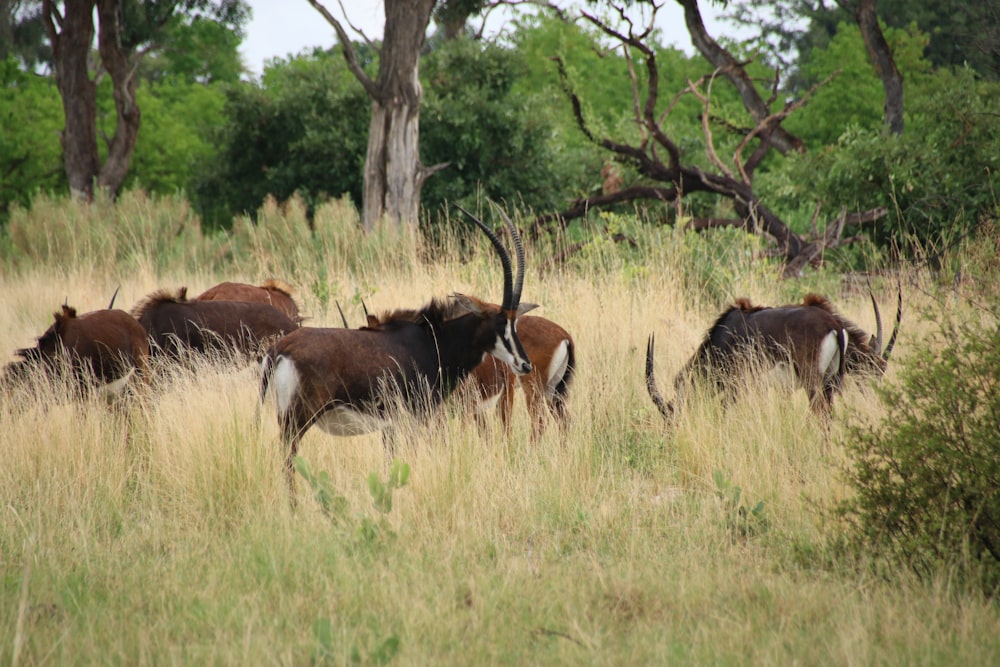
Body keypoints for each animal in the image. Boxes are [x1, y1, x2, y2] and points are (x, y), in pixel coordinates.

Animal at [262, 206, 536, 494]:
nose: (525, 364)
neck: (432, 342)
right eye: (499, 322)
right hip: (298, 419)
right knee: (288, 458)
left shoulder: (392, 425)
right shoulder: (413, 418)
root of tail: (279, 350)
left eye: (515, 322)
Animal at [644, 288, 904, 422]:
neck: (723, 335)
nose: (669, 437)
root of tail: (834, 325)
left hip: (812, 382)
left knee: (820, 414)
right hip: (829, 383)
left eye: (670, 415)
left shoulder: (736, 387)